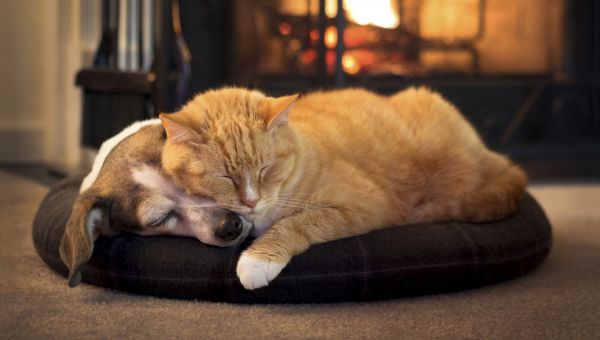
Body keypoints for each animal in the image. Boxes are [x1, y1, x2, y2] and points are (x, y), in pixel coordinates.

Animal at [158, 87, 524, 290]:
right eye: (225, 177)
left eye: (265, 168)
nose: (250, 201)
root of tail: (488, 151)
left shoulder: (365, 205)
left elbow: (297, 222)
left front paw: (257, 260)